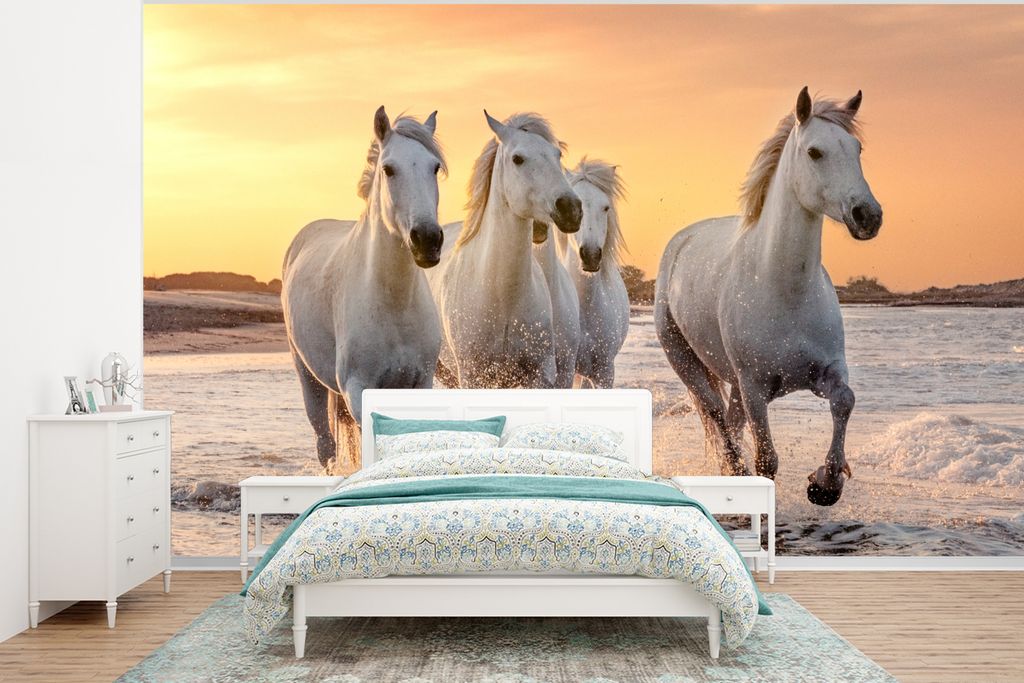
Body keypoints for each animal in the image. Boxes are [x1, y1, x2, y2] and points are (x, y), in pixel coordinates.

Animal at [282, 107, 447, 472]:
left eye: (434, 167)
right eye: (389, 169)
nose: (428, 240)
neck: (394, 304)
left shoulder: (419, 383)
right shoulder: (358, 390)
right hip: (309, 380)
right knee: (326, 445)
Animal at [428, 111, 582, 388]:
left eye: (557, 155)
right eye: (517, 159)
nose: (571, 208)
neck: (503, 296)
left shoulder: (538, 375)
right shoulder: (473, 376)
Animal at [654, 87, 882, 506]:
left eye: (856, 148)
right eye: (814, 152)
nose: (868, 215)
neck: (784, 291)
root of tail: (682, 240)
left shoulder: (827, 371)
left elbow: (845, 400)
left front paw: (825, 484)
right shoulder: (755, 388)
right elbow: (766, 460)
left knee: (729, 421)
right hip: (687, 362)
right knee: (717, 416)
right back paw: (733, 477)